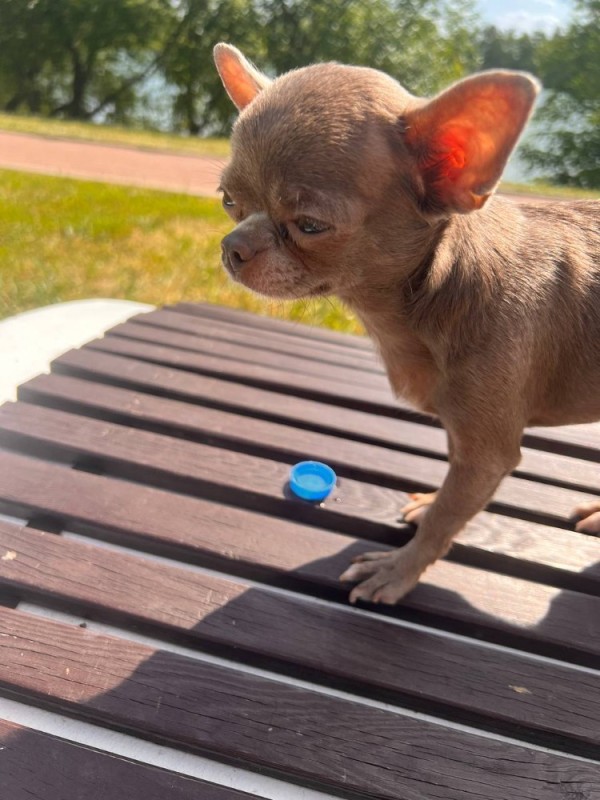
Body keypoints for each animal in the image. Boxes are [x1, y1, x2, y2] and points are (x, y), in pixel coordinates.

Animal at [213, 43, 596, 604]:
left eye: (310, 226)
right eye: (228, 201)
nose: (232, 246)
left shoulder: (487, 453)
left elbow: (446, 519)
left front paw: (397, 570)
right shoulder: (463, 436)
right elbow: (448, 492)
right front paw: (427, 505)